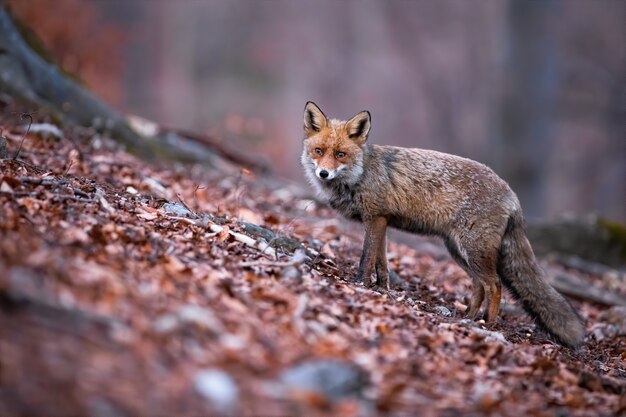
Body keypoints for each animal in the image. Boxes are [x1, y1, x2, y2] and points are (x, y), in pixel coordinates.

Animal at [300, 101, 584, 348]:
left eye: (340, 154)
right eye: (318, 151)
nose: (323, 173)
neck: (360, 175)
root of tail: (512, 194)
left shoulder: (375, 218)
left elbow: (366, 258)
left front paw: (360, 284)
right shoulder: (382, 222)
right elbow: (381, 263)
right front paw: (382, 288)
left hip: (474, 251)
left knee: (494, 285)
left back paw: (487, 324)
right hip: (458, 251)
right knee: (479, 285)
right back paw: (467, 317)